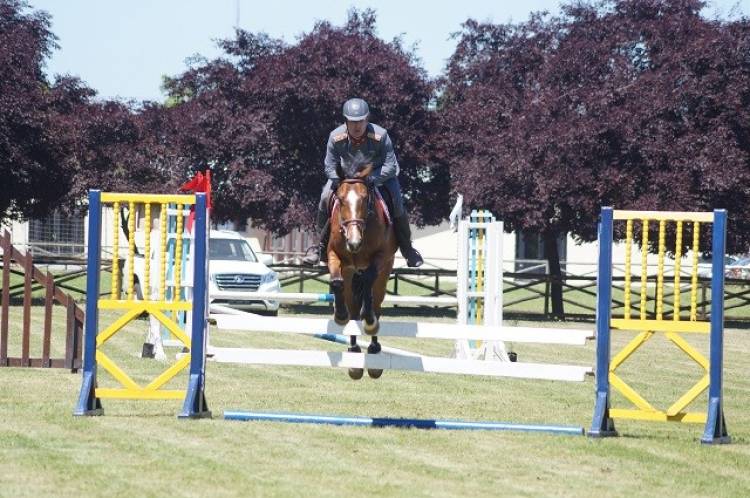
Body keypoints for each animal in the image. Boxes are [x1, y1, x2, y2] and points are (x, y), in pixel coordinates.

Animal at [328, 161, 400, 380]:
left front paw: (369, 319)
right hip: (351, 273)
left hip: (384, 274)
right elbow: (337, 283)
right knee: (352, 308)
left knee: (375, 300)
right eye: (340, 200)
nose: (354, 242)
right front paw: (340, 314)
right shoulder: (334, 255)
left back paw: (374, 349)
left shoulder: (382, 257)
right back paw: (354, 354)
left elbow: (369, 285)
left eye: (365, 199)